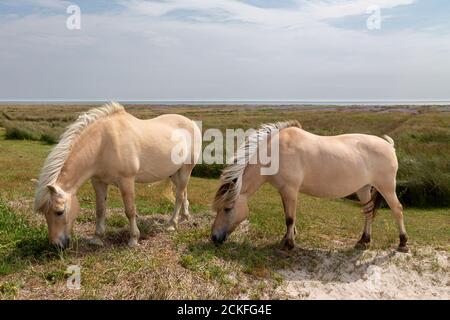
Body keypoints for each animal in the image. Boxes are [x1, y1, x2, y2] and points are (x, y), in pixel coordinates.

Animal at [35, 102, 202, 248]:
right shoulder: (98, 182)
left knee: (179, 196)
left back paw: (172, 224)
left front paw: (133, 239)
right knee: (183, 192)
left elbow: (130, 210)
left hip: (186, 169)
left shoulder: (126, 180)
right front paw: (97, 238)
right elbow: (100, 210)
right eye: (44, 213)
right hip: (175, 173)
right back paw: (184, 217)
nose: (56, 245)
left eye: (59, 212)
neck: (103, 144)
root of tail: (192, 123)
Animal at [211, 120, 408, 252]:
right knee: (368, 213)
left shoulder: (290, 190)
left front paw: (288, 244)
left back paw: (403, 242)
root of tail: (389, 145)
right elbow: (288, 215)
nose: (214, 237)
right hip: (363, 188)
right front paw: (287, 237)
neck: (275, 152)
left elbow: (290, 218)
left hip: (386, 187)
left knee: (397, 210)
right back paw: (364, 241)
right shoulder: (284, 191)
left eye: (227, 208)